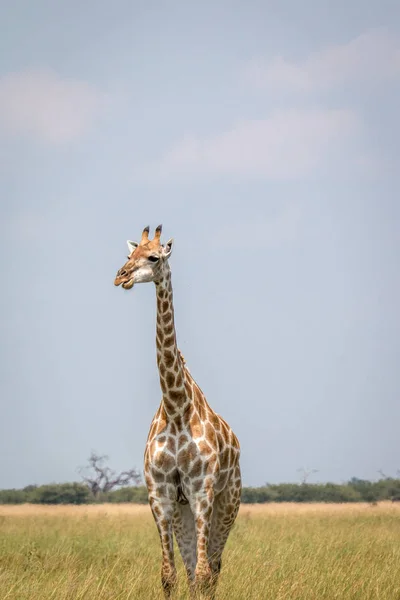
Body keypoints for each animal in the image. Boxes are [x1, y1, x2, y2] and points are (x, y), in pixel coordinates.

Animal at [114, 226, 242, 600]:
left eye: (154, 257)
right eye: (129, 255)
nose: (121, 276)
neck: (175, 406)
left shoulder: (202, 490)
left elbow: (203, 573)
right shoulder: (160, 493)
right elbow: (169, 576)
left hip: (227, 502)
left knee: (211, 570)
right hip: (184, 511)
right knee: (193, 571)